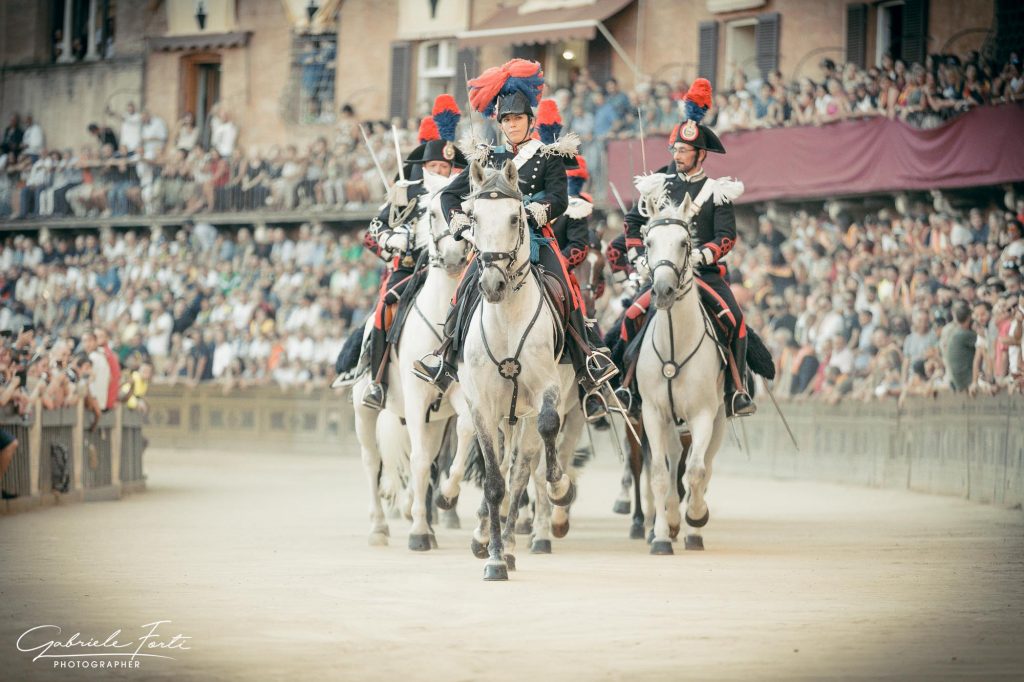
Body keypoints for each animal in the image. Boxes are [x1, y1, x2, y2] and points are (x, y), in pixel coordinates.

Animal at [354, 176, 473, 548]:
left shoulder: (454, 395)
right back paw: (379, 526)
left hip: (433, 419)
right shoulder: (418, 394)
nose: (454, 257)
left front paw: (445, 497)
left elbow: (463, 434)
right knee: (371, 460)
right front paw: (419, 530)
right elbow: (419, 460)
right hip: (365, 410)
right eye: (431, 213)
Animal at [456, 159, 577, 577]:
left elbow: (548, 428)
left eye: (514, 217)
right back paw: (491, 541)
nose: (492, 284)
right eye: (473, 217)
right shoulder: (481, 405)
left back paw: (510, 542)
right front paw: (492, 558)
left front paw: (560, 487)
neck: (507, 317)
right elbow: (494, 482)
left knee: (523, 468)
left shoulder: (547, 390)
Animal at [630, 180, 729, 552]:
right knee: (672, 463)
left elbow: (697, 470)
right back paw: (671, 520)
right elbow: (660, 473)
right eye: (648, 242)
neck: (676, 344)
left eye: (685, 243)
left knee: (705, 466)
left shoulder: (703, 413)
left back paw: (692, 525)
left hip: (719, 418)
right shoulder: (653, 413)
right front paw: (660, 535)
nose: (663, 290)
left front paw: (696, 519)